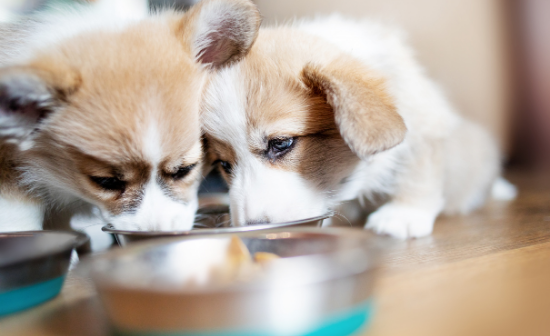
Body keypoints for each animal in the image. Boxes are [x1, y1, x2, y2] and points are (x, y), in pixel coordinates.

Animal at [203, 15, 516, 239]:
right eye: (225, 165)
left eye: (281, 143)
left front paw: (402, 216)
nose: (251, 226)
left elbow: (417, 173)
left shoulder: (424, 127)